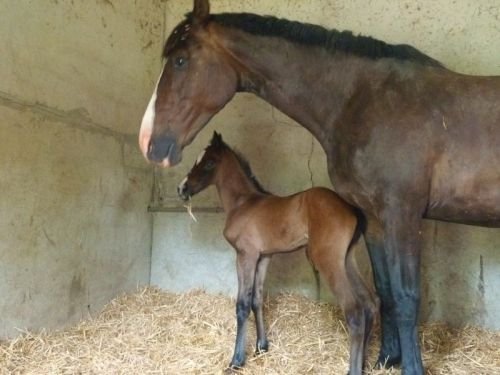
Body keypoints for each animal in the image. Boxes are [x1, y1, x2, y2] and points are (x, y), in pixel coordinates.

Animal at [178, 131, 376, 374]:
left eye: (208, 163)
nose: (182, 188)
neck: (243, 202)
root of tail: (351, 208)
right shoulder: (264, 257)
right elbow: (257, 299)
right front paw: (261, 347)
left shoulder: (246, 255)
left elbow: (243, 304)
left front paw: (236, 360)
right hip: (347, 259)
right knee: (369, 304)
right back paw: (363, 364)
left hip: (328, 261)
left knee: (355, 310)